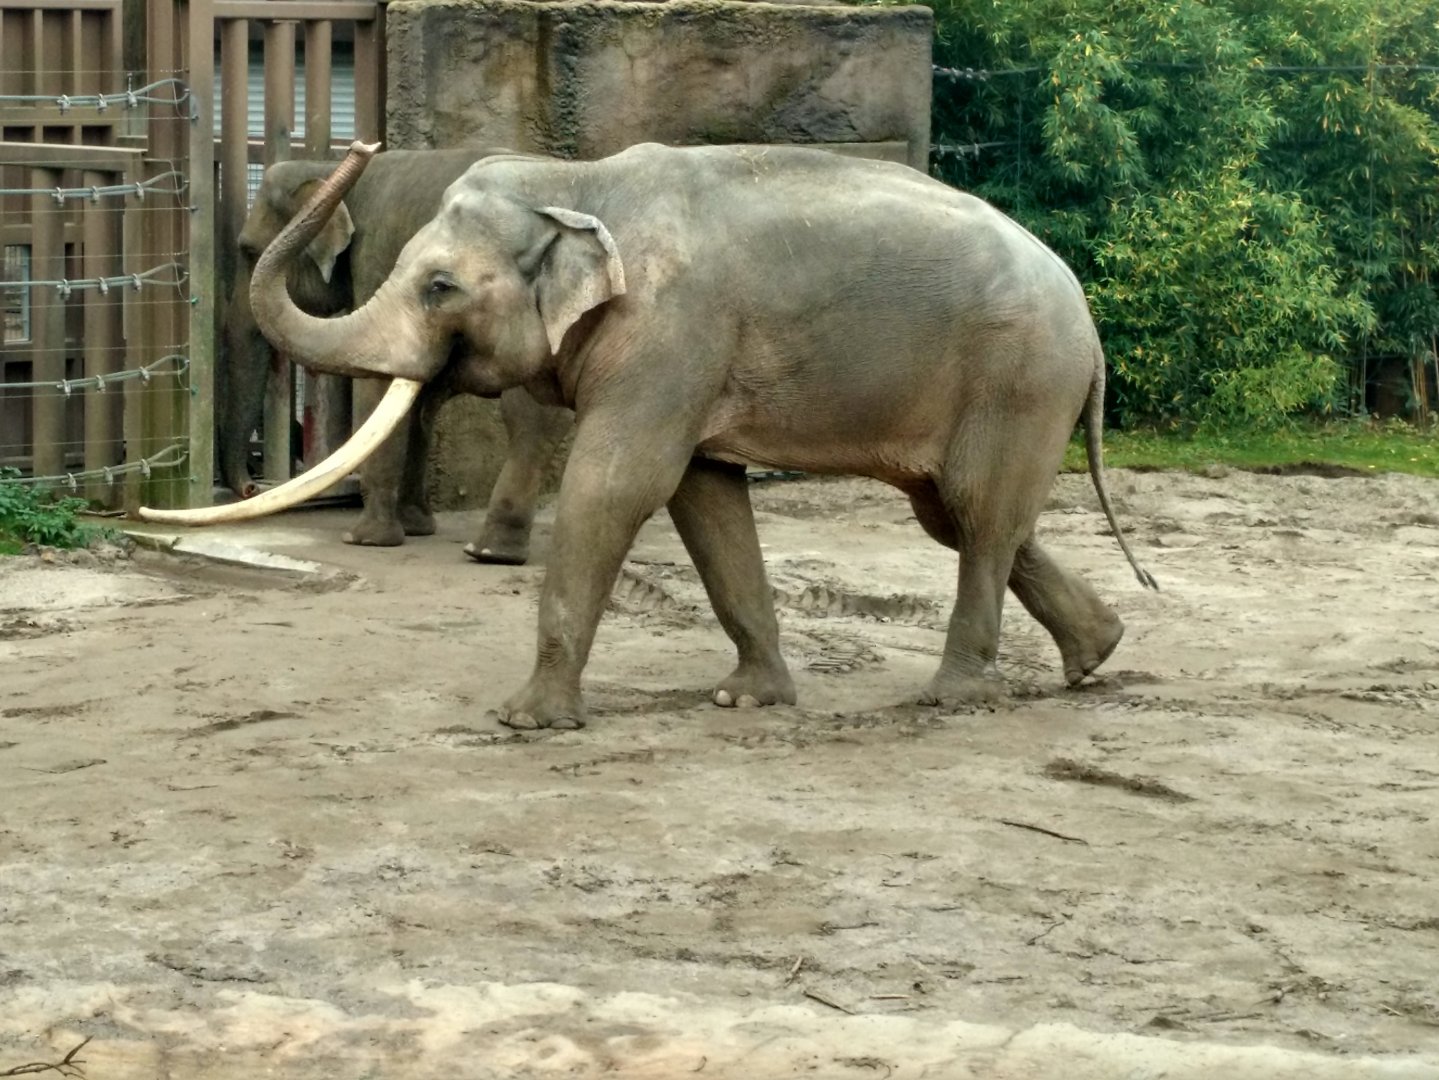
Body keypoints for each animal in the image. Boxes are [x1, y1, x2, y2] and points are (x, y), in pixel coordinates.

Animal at [220, 149, 571, 562]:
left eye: (248, 251)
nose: (250, 487)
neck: (324, 168)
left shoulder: (379, 256)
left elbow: (379, 385)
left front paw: (366, 539)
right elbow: (419, 398)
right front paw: (416, 527)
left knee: (525, 416)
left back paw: (491, 552)